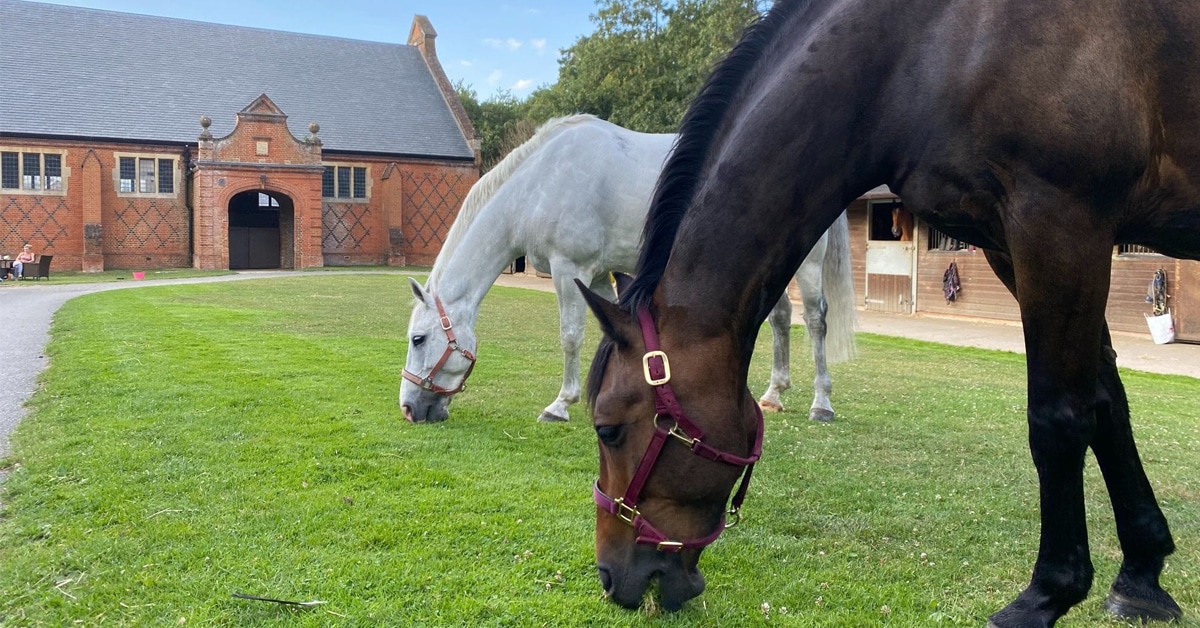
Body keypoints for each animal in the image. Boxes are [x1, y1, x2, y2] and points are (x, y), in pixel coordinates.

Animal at [398, 115, 859, 425]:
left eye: (419, 339)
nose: (408, 409)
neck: (540, 183)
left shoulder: (570, 269)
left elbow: (570, 337)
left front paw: (560, 405)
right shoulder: (600, 275)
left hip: (809, 265)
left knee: (815, 321)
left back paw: (822, 403)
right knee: (781, 318)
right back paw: (774, 395)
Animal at [576, 0, 1195, 624]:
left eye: (607, 428)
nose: (607, 576)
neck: (930, 48)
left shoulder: (1060, 222)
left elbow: (1060, 417)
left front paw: (1047, 592)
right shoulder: (1008, 244)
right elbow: (1106, 405)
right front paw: (1140, 573)